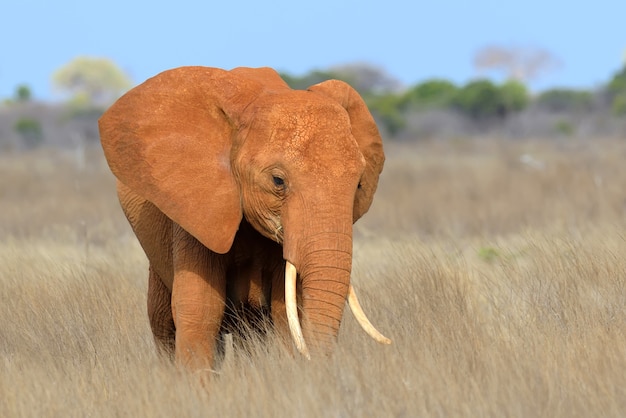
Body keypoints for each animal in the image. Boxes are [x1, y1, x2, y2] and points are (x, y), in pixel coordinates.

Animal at [98, 65, 390, 370]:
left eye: (359, 185)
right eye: (277, 181)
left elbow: (286, 310)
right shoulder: (194, 209)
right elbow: (200, 308)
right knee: (164, 323)